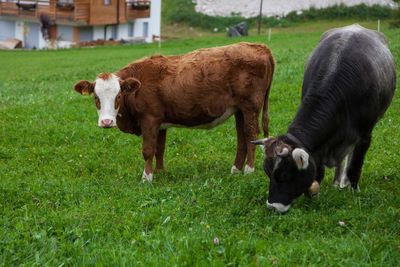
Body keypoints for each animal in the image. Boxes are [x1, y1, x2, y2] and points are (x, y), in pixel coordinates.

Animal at [74, 42, 276, 182]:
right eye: (96, 97)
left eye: (118, 96)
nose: (107, 122)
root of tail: (260, 47)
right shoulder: (160, 123)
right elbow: (159, 149)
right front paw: (160, 173)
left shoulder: (150, 120)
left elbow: (148, 150)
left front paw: (147, 178)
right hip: (239, 110)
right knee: (242, 138)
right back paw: (235, 170)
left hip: (250, 108)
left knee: (251, 135)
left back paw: (248, 170)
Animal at [253, 24, 396, 214]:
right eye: (267, 172)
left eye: (284, 174)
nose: (273, 206)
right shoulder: (319, 147)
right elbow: (318, 171)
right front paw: (316, 194)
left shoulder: (365, 134)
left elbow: (355, 165)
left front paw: (353, 191)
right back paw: (337, 181)